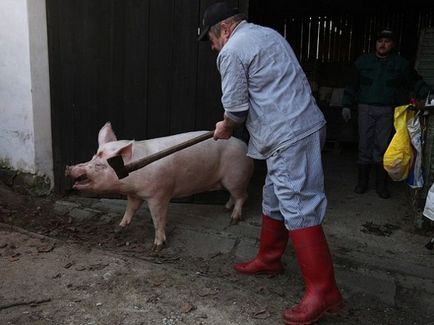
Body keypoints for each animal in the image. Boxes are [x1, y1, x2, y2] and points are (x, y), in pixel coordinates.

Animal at [65, 121, 254, 251]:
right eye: (92, 157)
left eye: (99, 165)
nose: (69, 168)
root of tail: (244, 145)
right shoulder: (134, 194)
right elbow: (130, 210)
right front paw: (118, 228)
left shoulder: (159, 194)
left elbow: (158, 218)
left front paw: (157, 247)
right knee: (234, 196)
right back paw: (225, 208)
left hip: (236, 176)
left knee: (243, 196)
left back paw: (233, 218)